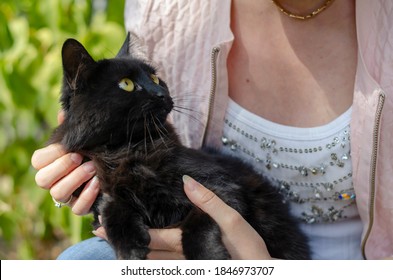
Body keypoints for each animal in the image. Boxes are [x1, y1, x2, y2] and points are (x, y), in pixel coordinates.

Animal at [49, 33, 310, 260]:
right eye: (126, 84)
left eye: (155, 79)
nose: (160, 93)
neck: (128, 150)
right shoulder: (106, 192)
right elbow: (112, 212)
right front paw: (130, 251)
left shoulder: (220, 188)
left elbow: (199, 222)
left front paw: (210, 257)